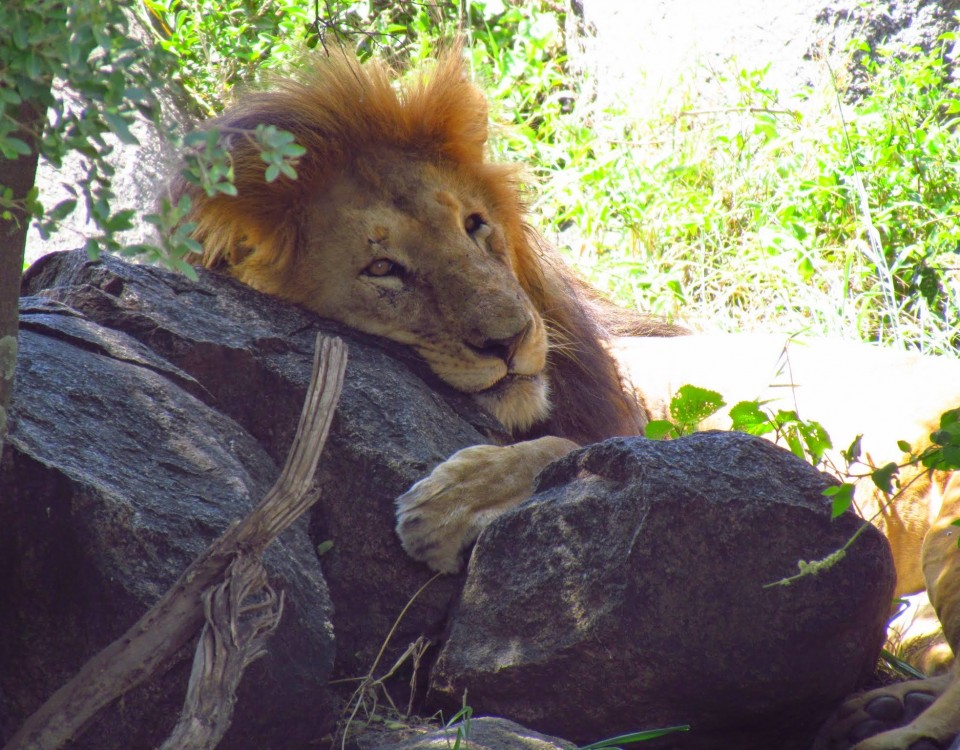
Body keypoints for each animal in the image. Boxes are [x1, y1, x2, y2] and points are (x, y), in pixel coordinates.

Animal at [174, 50, 960, 750]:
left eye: (475, 225)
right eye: (383, 268)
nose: (511, 337)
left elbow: (566, 449)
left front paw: (450, 505)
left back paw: (896, 730)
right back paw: (884, 706)